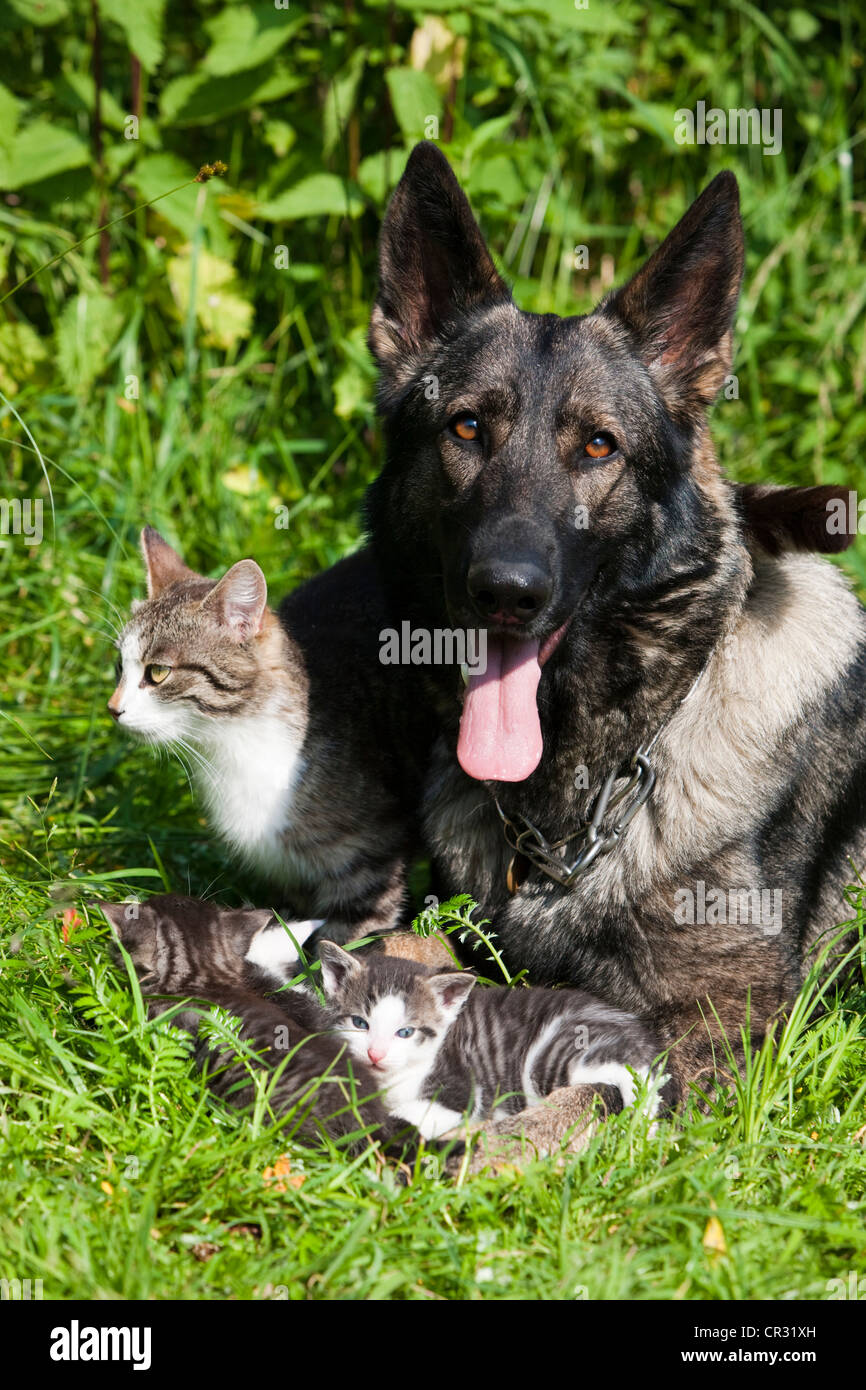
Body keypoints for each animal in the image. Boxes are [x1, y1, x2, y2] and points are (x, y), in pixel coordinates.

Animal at [318, 934, 670, 1139]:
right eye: (360, 1023)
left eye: (405, 1032)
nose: (375, 1054)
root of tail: (632, 1026)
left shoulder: (461, 1087)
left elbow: (413, 1113)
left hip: (554, 1056)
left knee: (635, 1074)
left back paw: (644, 1127)